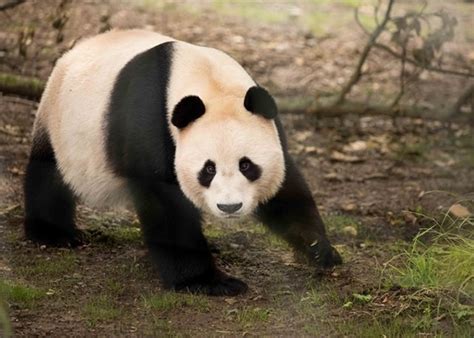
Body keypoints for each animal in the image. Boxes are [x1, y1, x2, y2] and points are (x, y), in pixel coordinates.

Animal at [24, 29, 340, 294]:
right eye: (208, 169)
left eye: (247, 165)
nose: (229, 207)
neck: (207, 80)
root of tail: (72, 52)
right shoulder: (150, 123)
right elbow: (165, 203)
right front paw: (207, 281)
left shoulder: (269, 126)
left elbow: (286, 189)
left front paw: (319, 249)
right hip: (60, 122)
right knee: (48, 174)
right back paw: (53, 233)